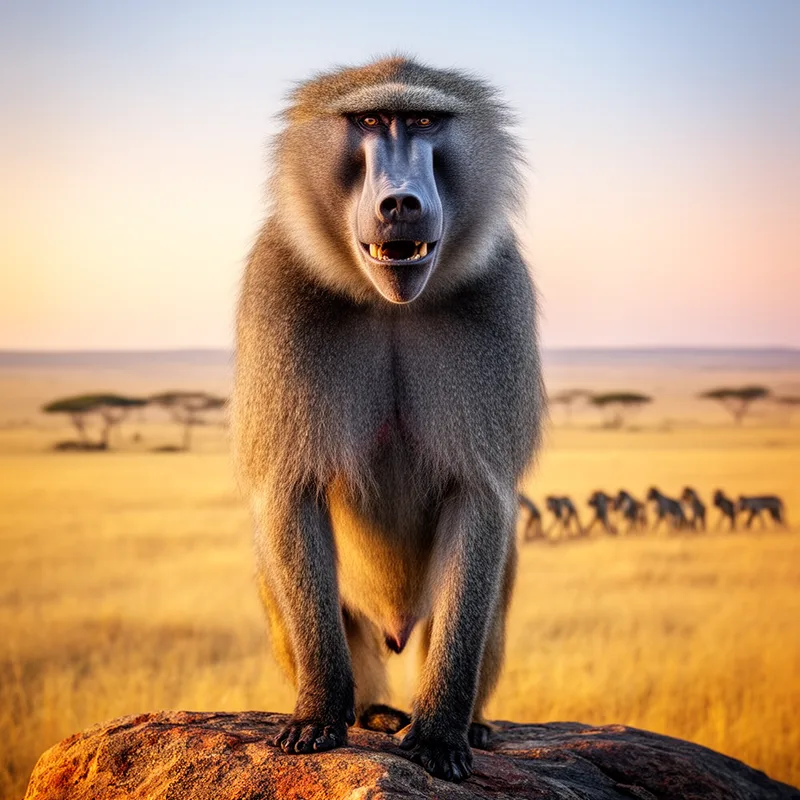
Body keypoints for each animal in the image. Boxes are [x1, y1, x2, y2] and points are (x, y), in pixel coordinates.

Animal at [232, 57, 543, 783]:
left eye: (425, 120)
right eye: (370, 120)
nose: (400, 202)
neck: (390, 303)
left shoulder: (499, 291)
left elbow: (481, 500)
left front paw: (440, 732)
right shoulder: (277, 286)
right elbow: (288, 495)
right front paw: (318, 714)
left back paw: (472, 722)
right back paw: (370, 713)